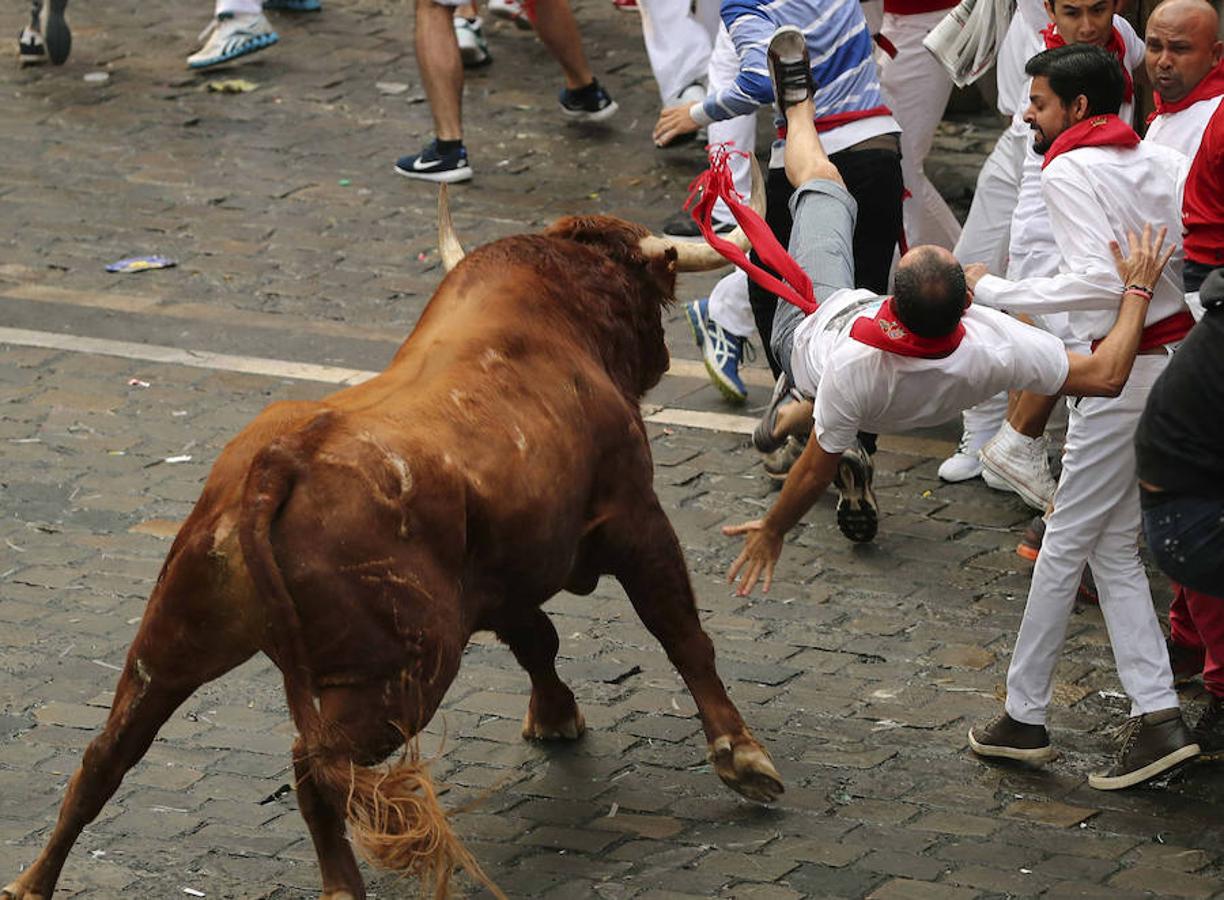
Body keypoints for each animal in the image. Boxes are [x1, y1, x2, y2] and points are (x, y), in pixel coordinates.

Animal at [2, 180, 783, 896]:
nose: (659, 358)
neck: (557, 321)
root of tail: (280, 457)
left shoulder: (500, 578)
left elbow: (538, 639)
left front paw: (555, 716)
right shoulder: (635, 519)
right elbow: (680, 633)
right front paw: (741, 756)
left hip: (175, 640)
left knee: (106, 756)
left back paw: (33, 881)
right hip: (406, 673)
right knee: (313, 766)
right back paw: (343, 885)